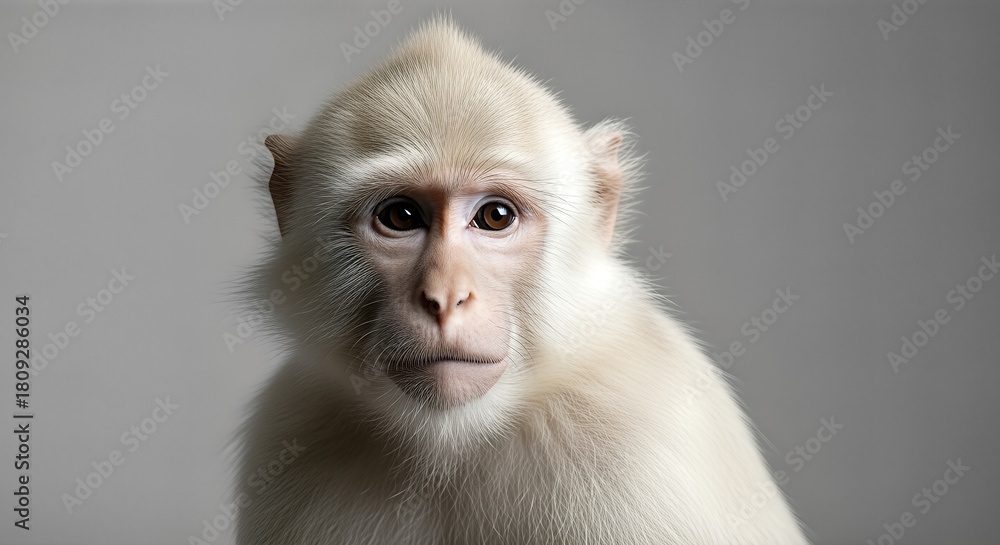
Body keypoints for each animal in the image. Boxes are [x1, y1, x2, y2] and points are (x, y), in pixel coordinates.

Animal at [235, 16, 809, 545]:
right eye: (400, 216)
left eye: (495, 217)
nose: (445, 297)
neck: (452, 445)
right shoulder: (291, 432)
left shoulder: (639, 450)